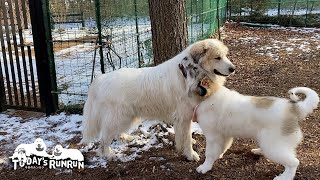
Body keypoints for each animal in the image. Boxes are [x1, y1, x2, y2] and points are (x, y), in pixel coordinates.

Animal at [80, 38, 235, 160]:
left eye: (225, 56)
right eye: (217, 58)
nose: (233, 68)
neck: (190, 73)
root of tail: (101, 78)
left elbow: (184, 135)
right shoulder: (183, 116)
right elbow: (186, 137)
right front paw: (191, 155)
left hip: (126, 117)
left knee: (115, 133)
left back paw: (126, 138)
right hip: (117, 117)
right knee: (103, 140)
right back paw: (108, 154)